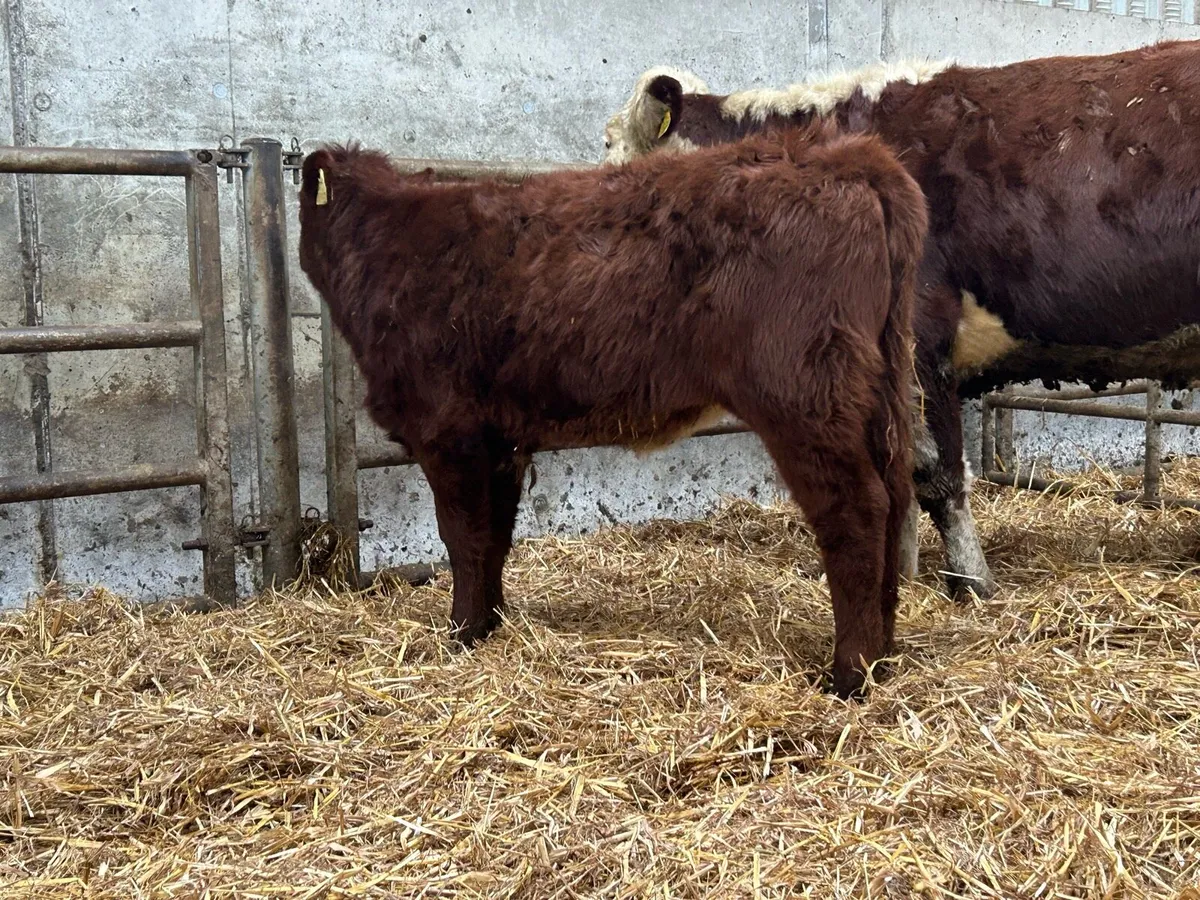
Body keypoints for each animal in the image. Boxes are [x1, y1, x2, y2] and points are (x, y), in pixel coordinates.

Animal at [296, 130, 928, 698]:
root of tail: (843, 154)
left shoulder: (449, 432)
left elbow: (463, 538)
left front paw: (462, 632)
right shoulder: (501, 440)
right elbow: (496, 535)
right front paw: (491, 625)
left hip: (802, 397)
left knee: (857, 510)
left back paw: (848, 675)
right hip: (877, 394)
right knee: (897, 498)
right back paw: (884, 653)